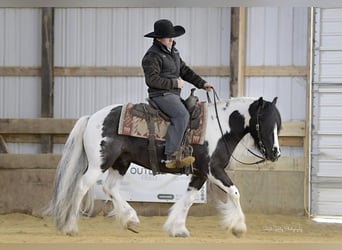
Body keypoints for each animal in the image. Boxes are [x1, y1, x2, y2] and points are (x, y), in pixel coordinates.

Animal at [44, 94, 280, 238]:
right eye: (265, 124)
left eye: (279, 124)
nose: (276, 153)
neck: (219, 127)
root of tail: (92, 117)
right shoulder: (213, 170)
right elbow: (235, 192)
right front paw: (238, 227)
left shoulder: (200, 174)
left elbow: (188, 199)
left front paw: (178, 228)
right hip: (98, 164)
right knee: (82, 186)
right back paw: (70, 227)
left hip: (121, 162)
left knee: (110, 187)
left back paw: (130, 219)